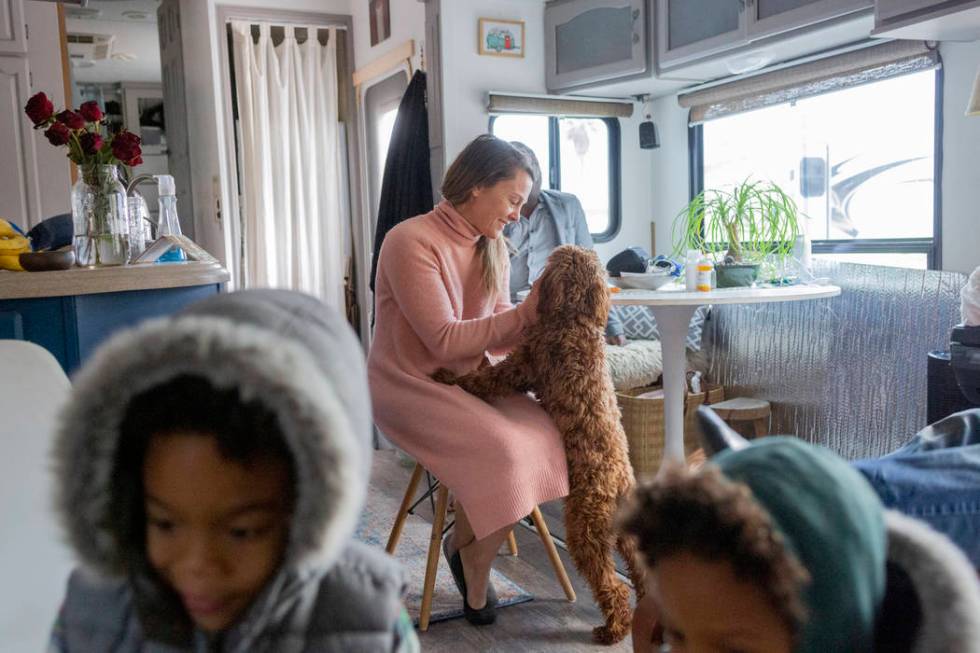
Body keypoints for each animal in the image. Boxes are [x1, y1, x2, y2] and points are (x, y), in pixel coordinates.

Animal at [434, 244, 644, 640]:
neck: (573, 318)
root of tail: (620, 487)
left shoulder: (521, 367)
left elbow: (484, 379)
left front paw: (447, 376)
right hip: (625, 537)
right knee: (639, 571)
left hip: (585, 531)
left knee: (612, 585)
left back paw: (612, 629)